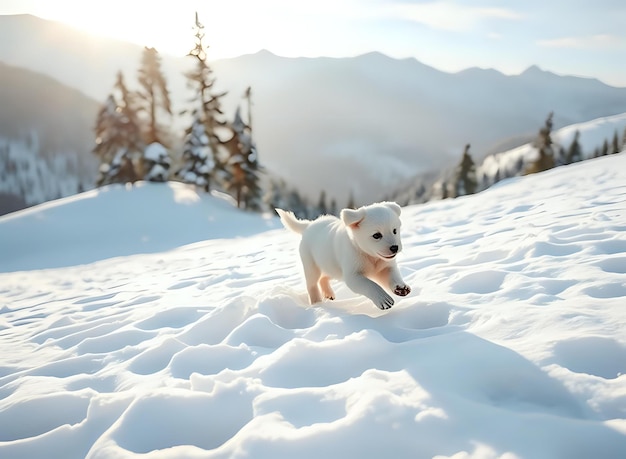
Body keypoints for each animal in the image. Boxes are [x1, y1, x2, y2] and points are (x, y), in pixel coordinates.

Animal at [276, 203, 408, 310]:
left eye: (395, 231)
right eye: (376, 235)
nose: (395, 247)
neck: (369, 256)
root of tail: (308, 225)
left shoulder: (385, 267)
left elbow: (392, 276)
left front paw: (401, 287)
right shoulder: (353, 275)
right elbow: (370, 285)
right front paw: (383, 299)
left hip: (331, 266)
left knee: (323, 278)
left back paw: (328, 294)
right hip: (311, 265)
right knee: (312, 284)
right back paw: (317, 303)